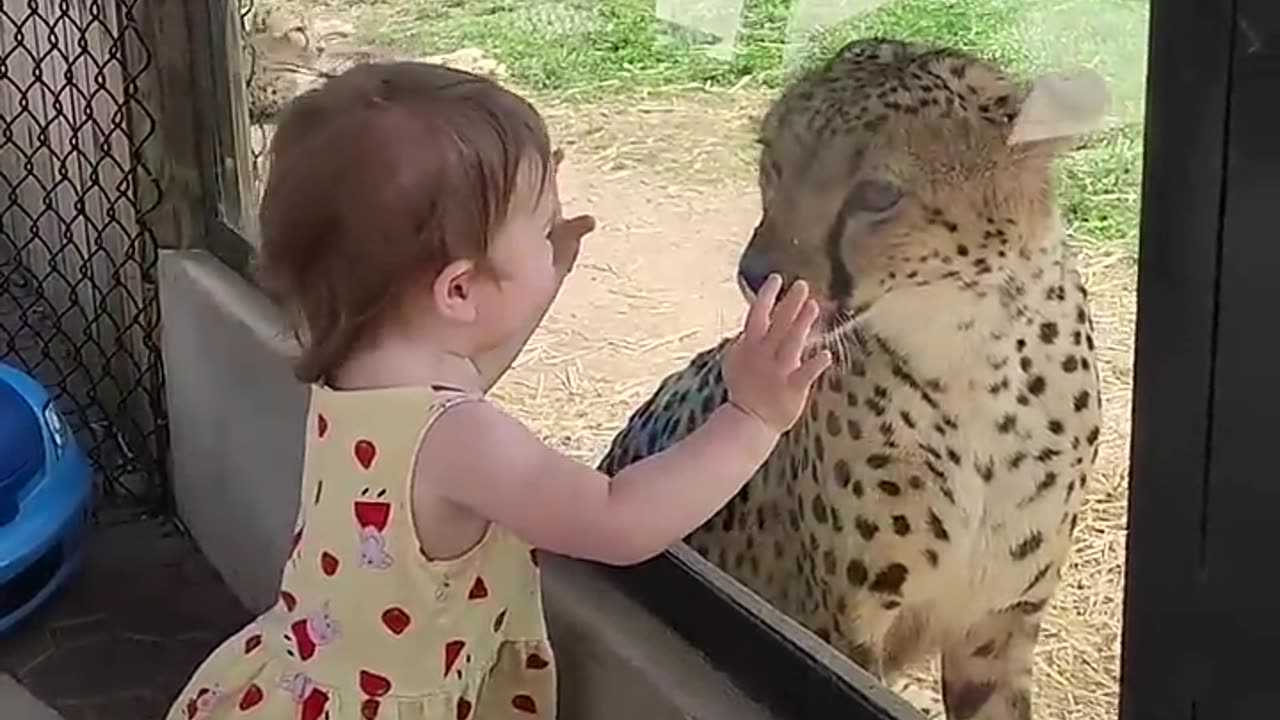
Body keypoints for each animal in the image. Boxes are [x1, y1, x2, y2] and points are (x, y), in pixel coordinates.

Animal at [599, 37, 1111, 717]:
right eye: (773, 162)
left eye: (876, 195)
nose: (756, 275)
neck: (974, 361)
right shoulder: (844, 629)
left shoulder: (996, 626)